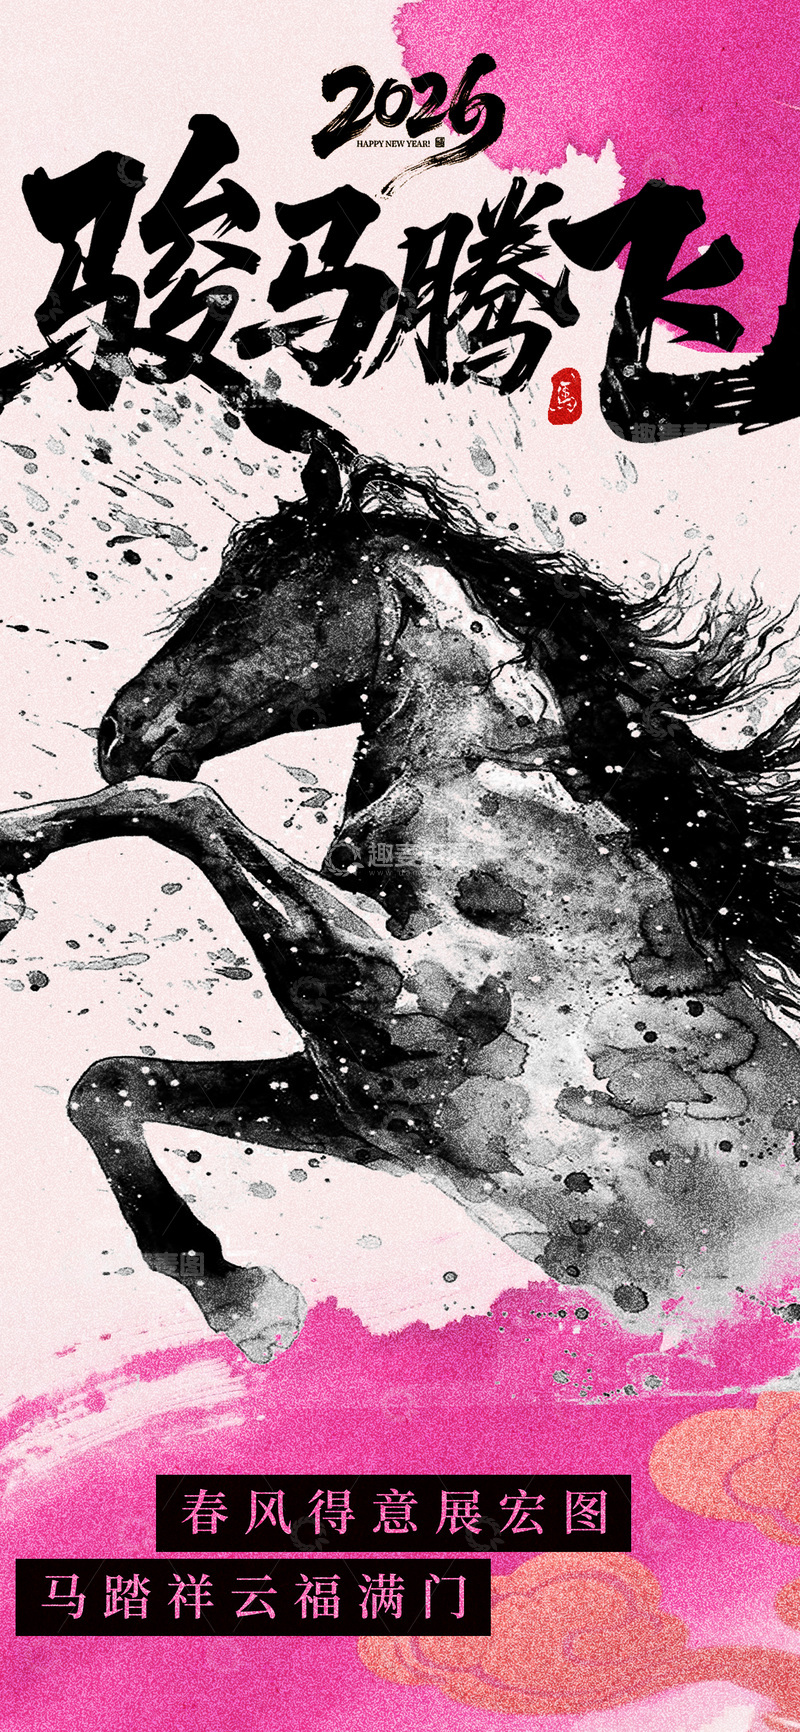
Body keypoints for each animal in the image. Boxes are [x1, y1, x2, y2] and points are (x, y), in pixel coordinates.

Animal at [0, 440, 799, 1362]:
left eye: (253, 582)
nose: (118, 732)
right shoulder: (367, 1108)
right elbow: (107, 1084)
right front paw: (239, 1298)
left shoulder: (404, 1001)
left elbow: (180, 806)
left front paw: (9, 855)